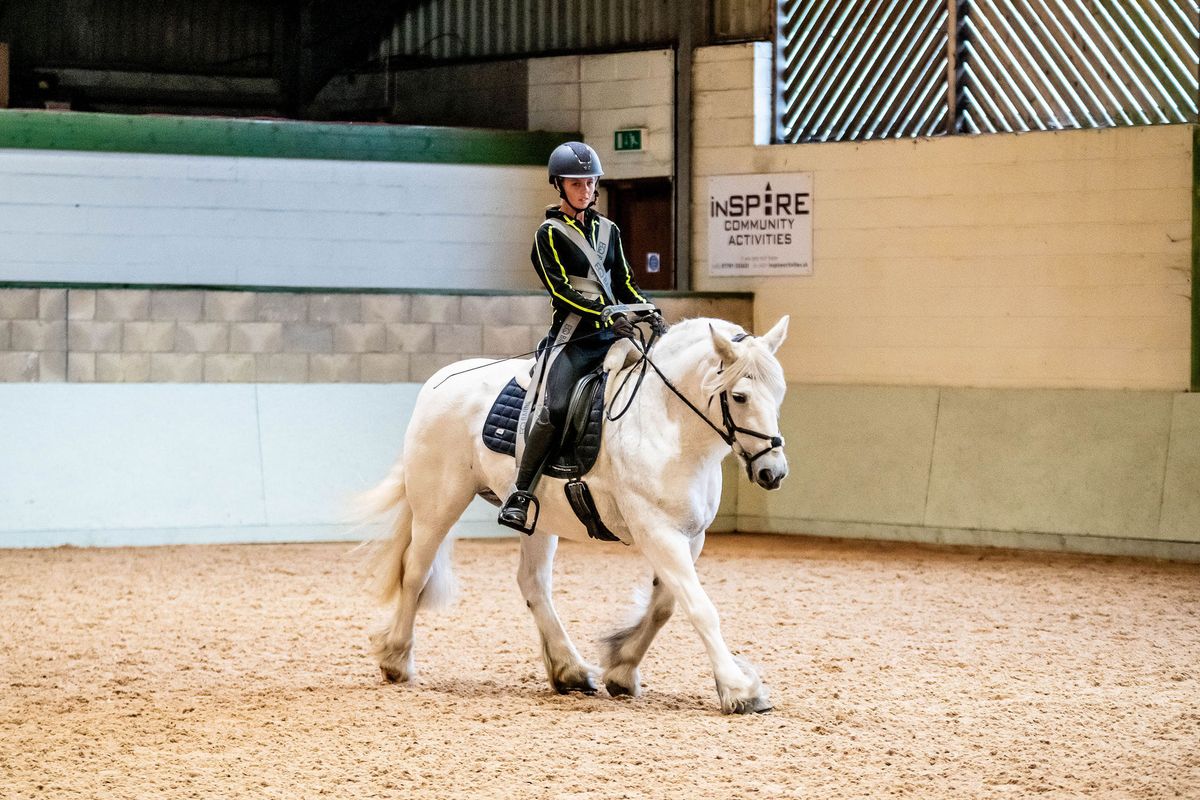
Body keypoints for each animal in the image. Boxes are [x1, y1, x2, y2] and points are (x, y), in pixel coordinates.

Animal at [355, 311, 787, 714]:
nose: (773, 472)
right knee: (415, 572)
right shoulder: (658, 532)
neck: (669, 426)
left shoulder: (690, 535)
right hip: (437, 505)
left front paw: (621, 667)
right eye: (740, 397)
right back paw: (396, 659)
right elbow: (700, 608)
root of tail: (437, 383)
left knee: (533, 584)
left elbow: (664, 606)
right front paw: (739, 689)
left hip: (537, 517)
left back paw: (570, 671)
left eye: (779, 392)